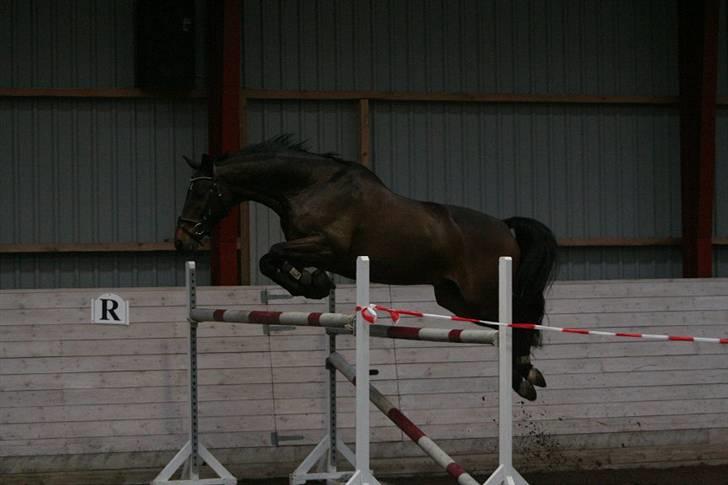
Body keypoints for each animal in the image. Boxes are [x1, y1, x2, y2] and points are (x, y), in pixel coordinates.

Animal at [175, 134, 556, 398]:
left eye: (200, 192)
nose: (182, 241)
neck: (308, 187)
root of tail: (505, 227)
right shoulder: (310, 248)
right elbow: (272, 260)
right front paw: (312, 283)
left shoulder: (327, 247)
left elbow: (271, 254)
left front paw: (312, 283)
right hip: (456, 299)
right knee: (510, 323)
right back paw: (525, 374)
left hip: (483, 293)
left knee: (519, 318)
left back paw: (524, 378)